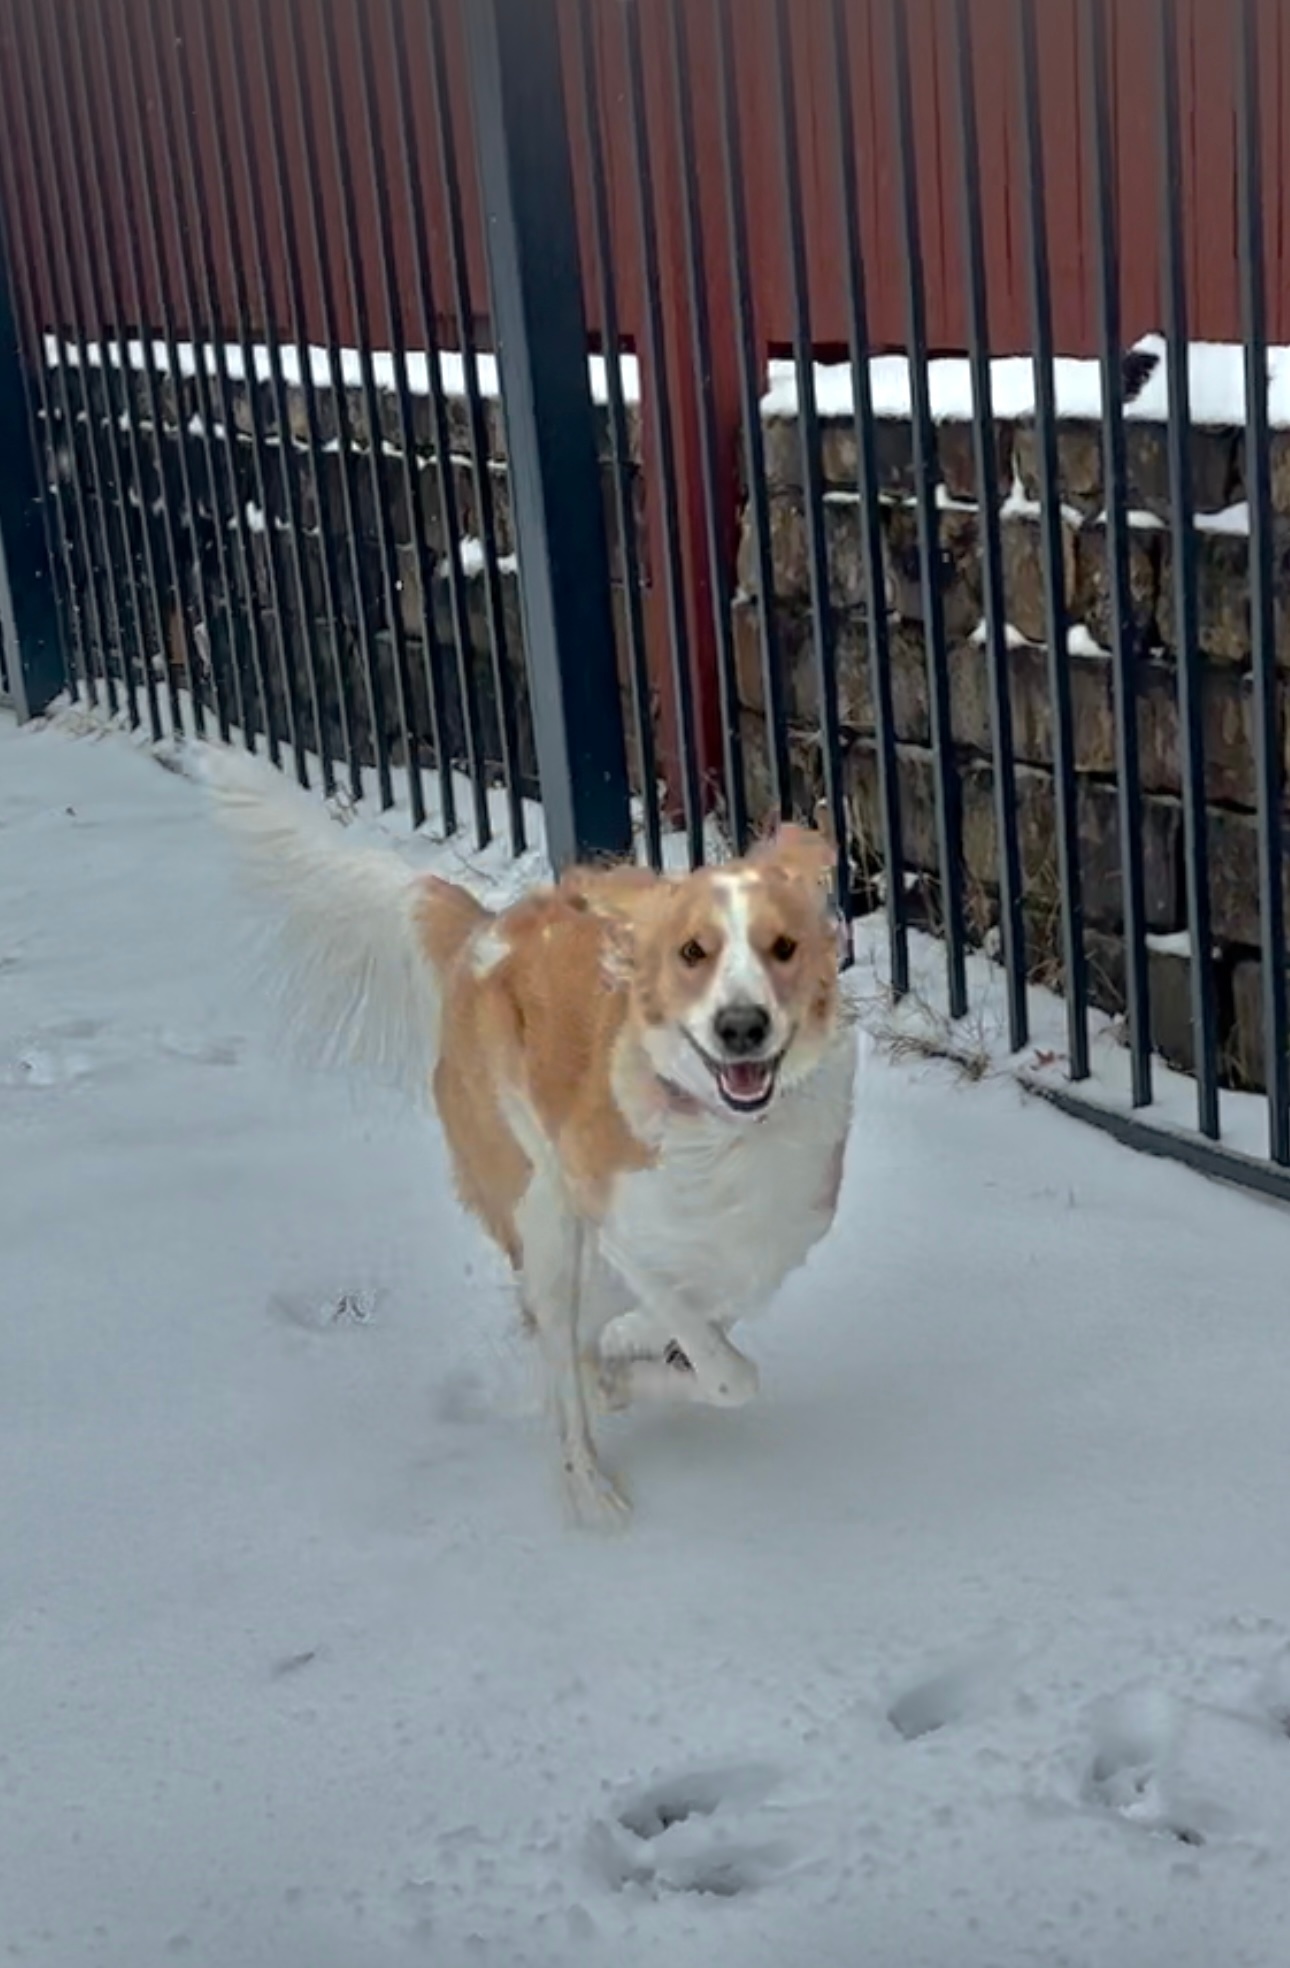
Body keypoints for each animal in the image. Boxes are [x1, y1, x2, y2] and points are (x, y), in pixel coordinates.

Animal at [204, 751, 858, 1519]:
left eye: (782, 947)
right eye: (693, 952)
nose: (741, 1027)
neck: (726, 1132)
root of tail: (482, 933)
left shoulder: (766, 1247)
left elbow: (705, 1333)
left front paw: (632, 1367)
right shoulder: (612, 1219)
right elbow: (723, 1366)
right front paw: (626, 1377)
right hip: (540, 1211)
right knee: (557, 1339)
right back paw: (592, 1492)